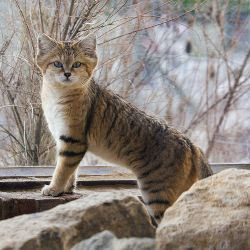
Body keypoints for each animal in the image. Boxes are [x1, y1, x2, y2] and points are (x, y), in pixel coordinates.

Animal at [36, 33, 213, 225]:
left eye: (77, 64)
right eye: (57, 63)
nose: (67, 73)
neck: (57, 95)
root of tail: (191, 145)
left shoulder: (73, 140)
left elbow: (63, 168)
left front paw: (54, 188)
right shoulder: (66, 139)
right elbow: (71, 170)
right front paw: (68, 188)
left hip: (157, 195)